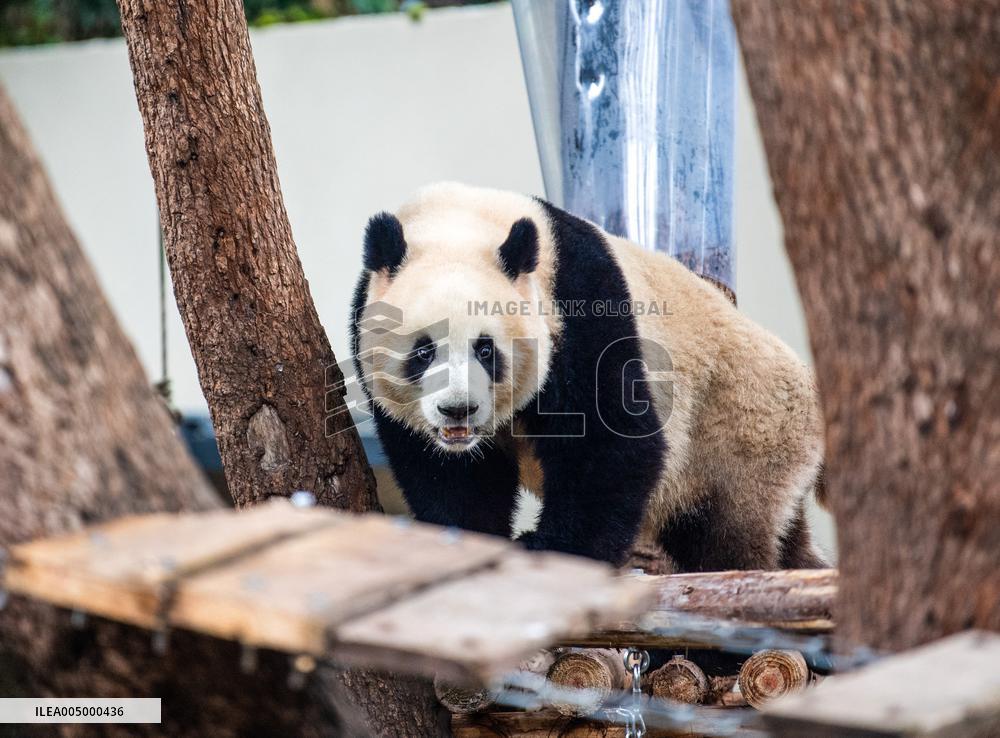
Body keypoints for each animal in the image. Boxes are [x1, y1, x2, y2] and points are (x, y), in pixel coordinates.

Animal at [350, 182, 826, 571]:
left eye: (486, 350)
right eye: (423, 351)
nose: (458, 410)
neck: (461, 222)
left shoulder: (579, 302)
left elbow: (612, 441)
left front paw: (550, 550)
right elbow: (448, 474)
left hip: (738, 431)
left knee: (724, 532)